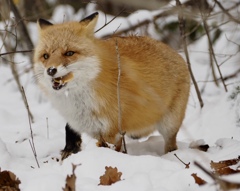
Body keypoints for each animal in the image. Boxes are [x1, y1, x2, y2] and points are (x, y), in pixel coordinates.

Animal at [33, 11, 190, 159]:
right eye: (45, 56)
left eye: (69, 53)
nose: (51, 70)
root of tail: (176, 53)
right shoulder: (88, 127)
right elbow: (69, 129)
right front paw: (69, 150)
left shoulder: (111, 132)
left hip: (169, 125)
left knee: (171, 145)